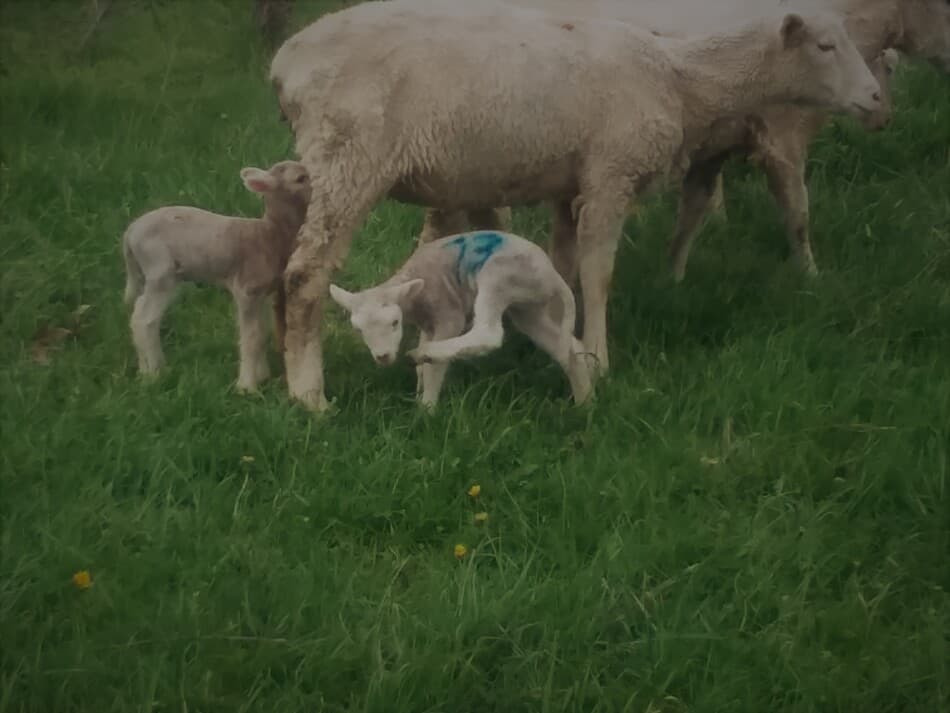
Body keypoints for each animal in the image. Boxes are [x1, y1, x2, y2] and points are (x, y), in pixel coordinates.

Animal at [121, 160, 310, 390]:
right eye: (300, 178)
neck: (269, 235)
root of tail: (129, 233)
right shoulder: (246, 289)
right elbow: (251, 337)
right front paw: (247, 386)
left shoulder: (263, 292)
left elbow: (262, 332)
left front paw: (263, 375)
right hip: (159, 269)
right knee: (143, 318)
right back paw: (153, 374)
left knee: (144, 312)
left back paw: (152, 367)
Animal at [272, 0, 880, 408]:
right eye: (826, 46)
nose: (878, 100)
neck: (678, 75)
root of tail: (285, 64)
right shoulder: (611, 172)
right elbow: (597, 272)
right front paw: (600, 358)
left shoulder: (570, 182)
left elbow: (563, 268)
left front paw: (559, 339)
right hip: (350, 160)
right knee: (304, 273)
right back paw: (309, 397)